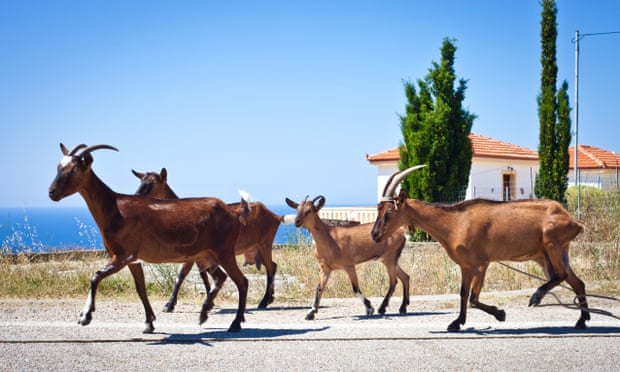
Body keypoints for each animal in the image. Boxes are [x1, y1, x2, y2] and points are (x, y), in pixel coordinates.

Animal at [47, 144, 249, 332]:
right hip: (206, 255)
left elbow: (95, 276)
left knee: (242, 282)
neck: (114, 208)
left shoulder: (122, 256)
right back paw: (204, 314)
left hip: (224, 251)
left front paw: (85, 316)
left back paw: (235, 323)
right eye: (58, 167)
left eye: (74, 169)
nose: (52, 192)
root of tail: (234, 213)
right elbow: (141, 288)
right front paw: (149, 323)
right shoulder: (132, 259)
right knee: (221, 277)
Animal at [132, 169, 286, 310]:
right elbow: (203, 274)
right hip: (255, 249)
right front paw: (209, 300)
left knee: (270, 268)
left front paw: (169, 304)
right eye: (140, 181)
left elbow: (182, 275)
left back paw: (264, 301)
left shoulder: (191, 253)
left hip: (265, 243)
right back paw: (270, 298)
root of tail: (275, 216)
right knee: (273, 265)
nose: (136, 197)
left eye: (153, 183)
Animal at [370, 166, 588, 332]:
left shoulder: (482, 263)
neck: (453, 223)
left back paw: (536, 297)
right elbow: (464, 294)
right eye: (378, 209)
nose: (374, 234)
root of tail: (574, 221)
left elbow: (473, 298)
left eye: (389, 211)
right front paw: (456, 323)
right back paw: (581, 320)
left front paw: (500, 314)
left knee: (561, 275)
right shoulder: (466, 266)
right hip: (550, 255)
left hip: (552, 243)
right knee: (577, 282)